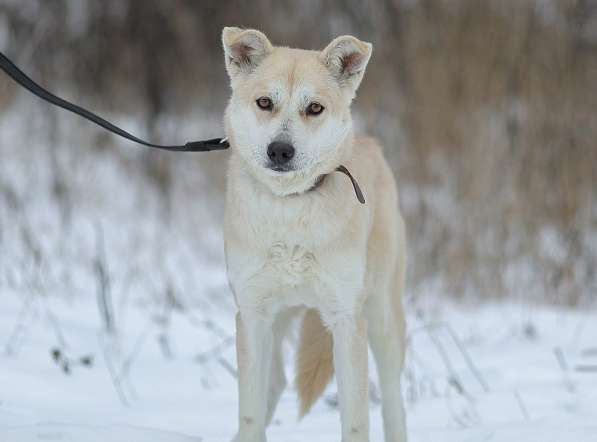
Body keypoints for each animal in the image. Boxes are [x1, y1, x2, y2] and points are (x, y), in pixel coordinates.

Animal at [221, 27, 408, 442]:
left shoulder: (346, 319)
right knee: (273, 384)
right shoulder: (252, 316)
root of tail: (372, 144)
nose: (280, 150)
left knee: (393, 400)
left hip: (383, 318)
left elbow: (355, 421)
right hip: (276, 323)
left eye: (315, 108)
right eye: (264, 102)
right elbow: (249, 414)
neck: (291, 207)